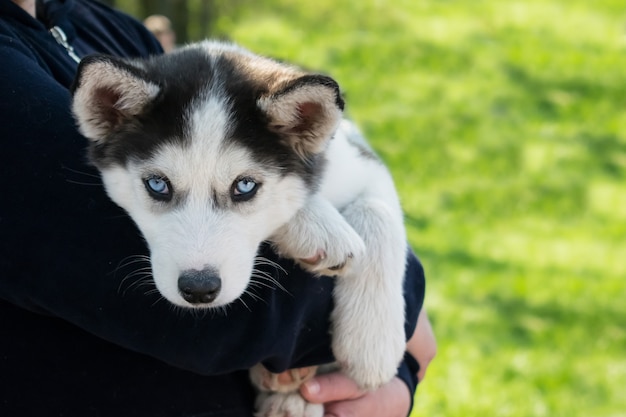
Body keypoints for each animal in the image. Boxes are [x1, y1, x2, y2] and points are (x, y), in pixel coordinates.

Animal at [70, 41, 408, 416]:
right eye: (157, 185)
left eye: (244, 186)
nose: (199, 289)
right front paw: (319, 227)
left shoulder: (362, 161)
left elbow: (378, 211)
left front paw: (373, 344)